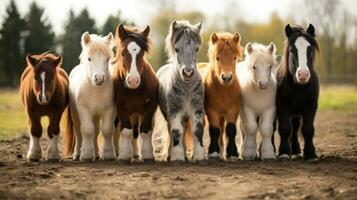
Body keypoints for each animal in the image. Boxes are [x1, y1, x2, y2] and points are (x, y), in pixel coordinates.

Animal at [62, 32, 115, 162]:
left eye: (107, 59)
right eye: (89, 59)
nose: (99, 78)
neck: (95, 89)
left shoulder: (109, 109)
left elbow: (107, 130)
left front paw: (108, 154)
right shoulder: (83, 109)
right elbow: (87, 130)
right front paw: (86, 155)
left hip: (95, 115)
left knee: (96, 132)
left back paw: (96, 154)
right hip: (75, 114)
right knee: (78, 132)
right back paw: (77, 154)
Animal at [112, 24, 158, 162]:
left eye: (142, 53)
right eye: (122, 53)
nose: (133, 80)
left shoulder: (150, 107)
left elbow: (145, 130)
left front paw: (148, 155)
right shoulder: (121, 107)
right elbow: (126, 130)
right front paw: (124, 155)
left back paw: (136, 153)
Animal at [154, 19, 204, 162]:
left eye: (197, 48)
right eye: (176, 49)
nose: (188, 72)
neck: (186, 88)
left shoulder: (197, 110)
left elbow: (197, 130)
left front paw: (198, 156)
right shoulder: (174, 111)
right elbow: (176, 131)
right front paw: (177, 156)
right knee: (172, 130)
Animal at [196, 32, 243, 161]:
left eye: (234, 58)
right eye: (217, 58)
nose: (226, 77)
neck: (223, 90)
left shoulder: (233, 109)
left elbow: (230, 129)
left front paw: (232, 153)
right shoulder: (211, 110)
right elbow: (214, 130)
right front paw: (213, 152)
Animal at [276, 23, 320, 161]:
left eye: (310, 49)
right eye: (292, 50)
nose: (303, 74)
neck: (299, 87)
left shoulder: (311, 107)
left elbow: (308, 130)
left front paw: (310, 154)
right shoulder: (282, 107)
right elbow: (285, 129)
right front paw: (284, 153)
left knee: (295, 128)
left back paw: (296, 150)